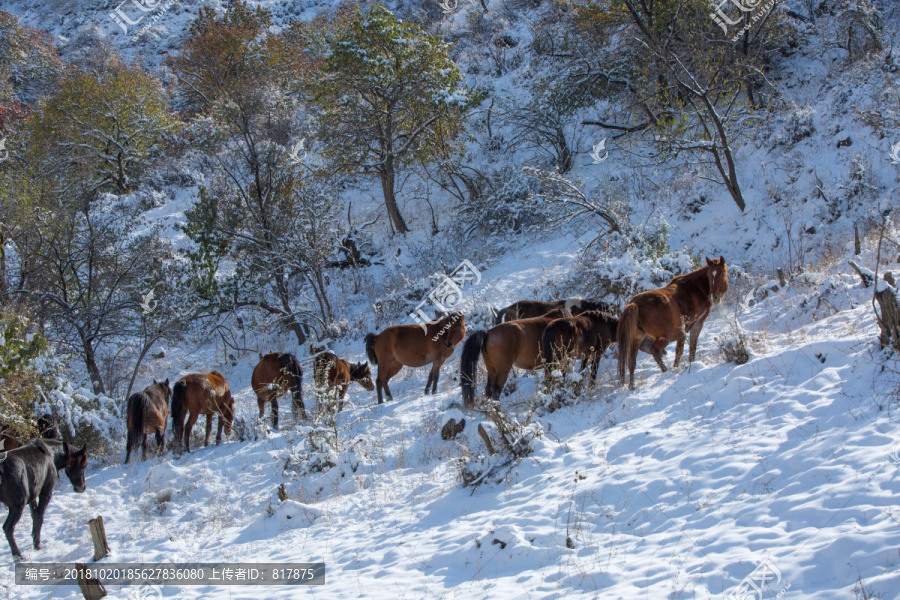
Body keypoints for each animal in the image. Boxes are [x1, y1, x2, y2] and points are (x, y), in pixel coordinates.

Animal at [620, 256, 732, 390]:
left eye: (722, 274)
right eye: (710, 275)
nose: (714, 297)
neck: (695, 289)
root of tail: (634, 304)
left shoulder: (682, 331)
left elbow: (681, 351)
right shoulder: (696, 324)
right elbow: (689, 348)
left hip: (637, 338)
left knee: (631, 361)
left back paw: (632, 386)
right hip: (664, 337)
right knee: (654, 351)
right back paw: (667, 372)